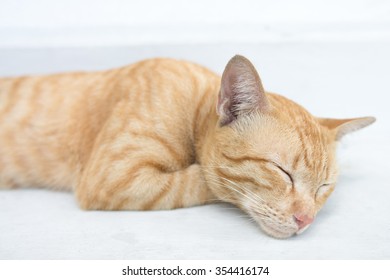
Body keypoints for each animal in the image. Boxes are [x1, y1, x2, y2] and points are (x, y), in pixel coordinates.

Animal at [1, 55, 376, 238]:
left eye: (324, 187)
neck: (192, 102)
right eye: (282, 172)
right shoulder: (114, 177)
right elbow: (202, 179)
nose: (306, 220)